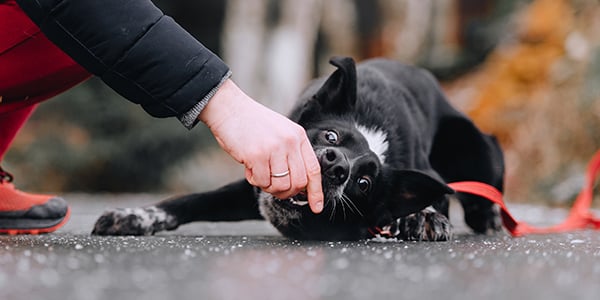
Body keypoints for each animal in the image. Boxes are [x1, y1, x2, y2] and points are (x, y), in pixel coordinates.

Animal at [92, 57, 506, 241]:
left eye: (364, 183)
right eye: (331, 138)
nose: (335, 165)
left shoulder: (428, 173)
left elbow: (437, 198)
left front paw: (422, 216)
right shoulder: (250, 189)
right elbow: (189, 201)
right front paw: (136, 215)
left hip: (476, 145)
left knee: (483, 188)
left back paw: (487, 216)